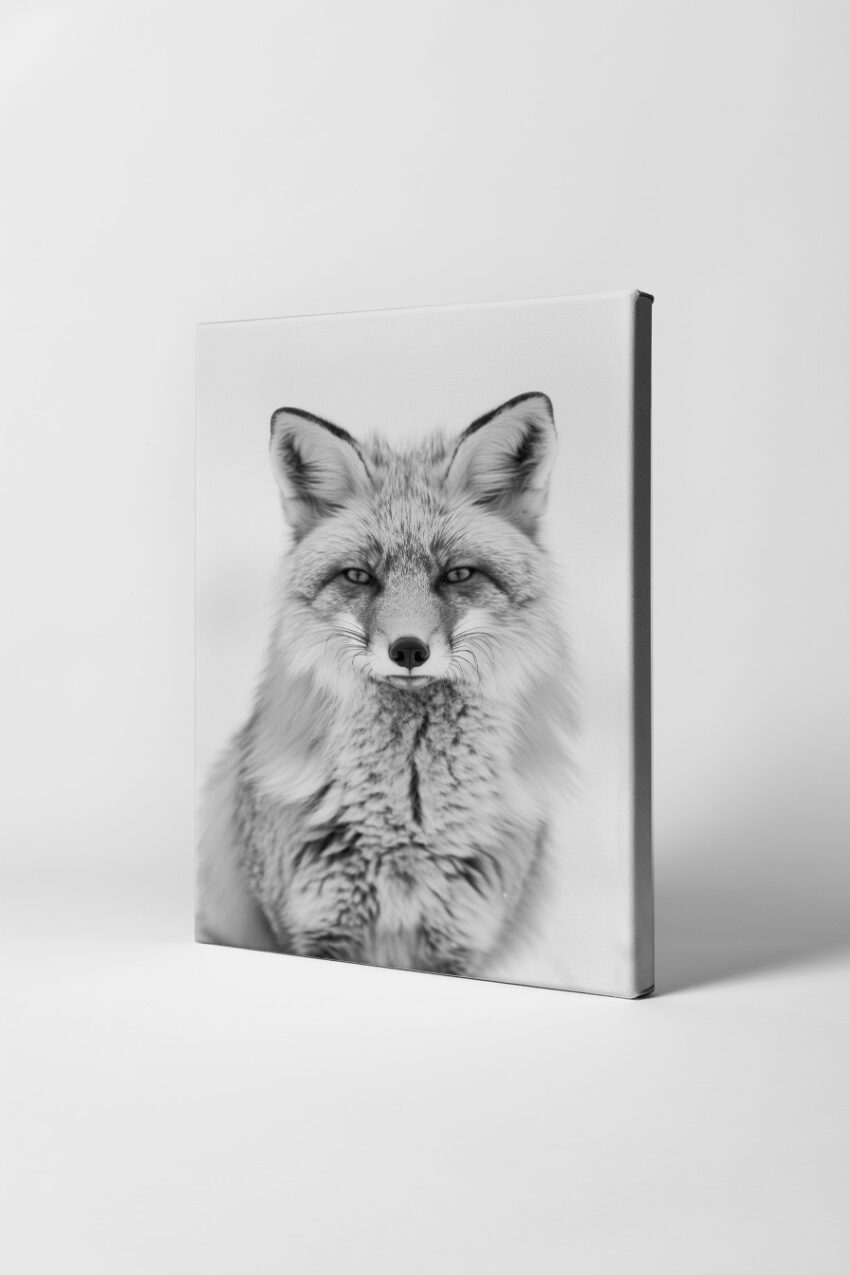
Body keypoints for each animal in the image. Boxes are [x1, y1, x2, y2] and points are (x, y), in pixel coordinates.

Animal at [197, 391, 571, 979]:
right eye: (359, 576)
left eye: (457, 575)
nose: (409, 651)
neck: (408, 826)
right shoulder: (312, 924)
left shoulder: (462, 938)